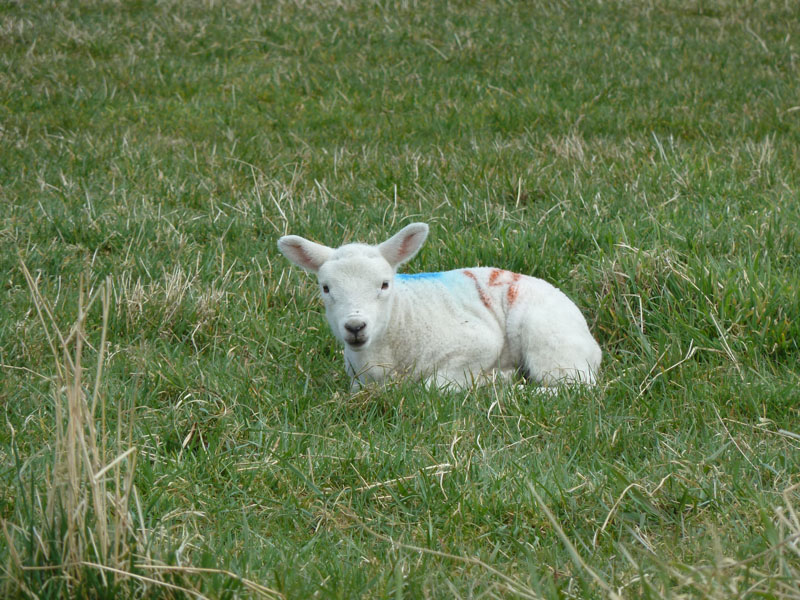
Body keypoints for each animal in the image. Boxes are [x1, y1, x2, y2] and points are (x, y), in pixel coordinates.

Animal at [277, 222, 601, 391]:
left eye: (384, 284)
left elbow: (434, 385)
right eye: (326, 288)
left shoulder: (480, 343)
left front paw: (493, 378)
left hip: (548, 340)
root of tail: (593, 345)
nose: (355, 327)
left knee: (573, 385)